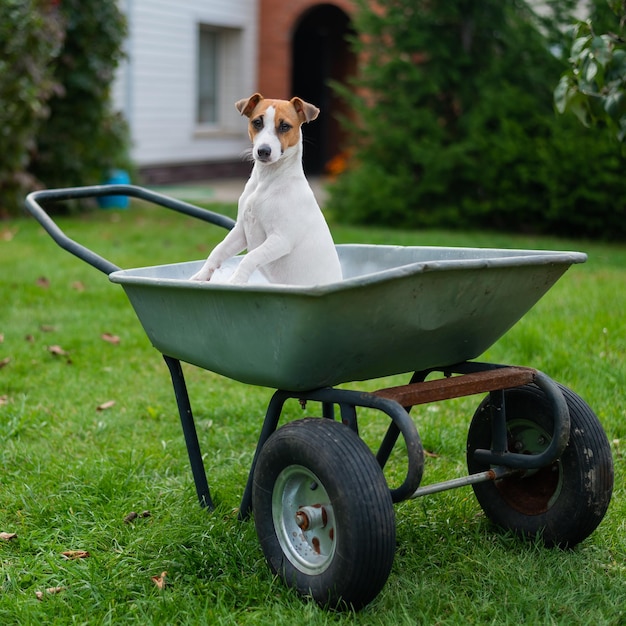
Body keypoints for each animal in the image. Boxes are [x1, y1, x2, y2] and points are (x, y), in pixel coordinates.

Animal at [190, 92, 342, 286]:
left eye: (285, 126)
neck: (266, 181)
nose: (263, 151)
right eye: (257, 122)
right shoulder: (240, 230)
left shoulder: (281, 239)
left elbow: (250, 258)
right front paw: (201, 276)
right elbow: (218, 250)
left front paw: (236, 280)